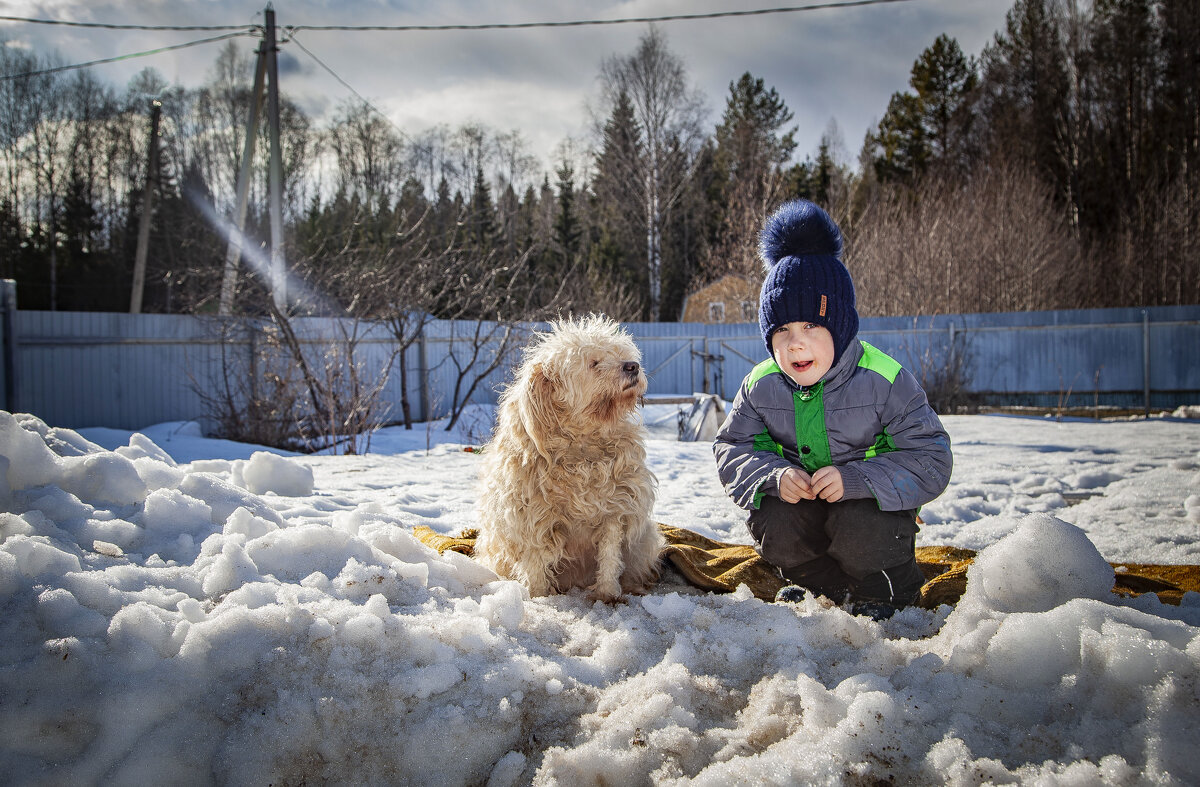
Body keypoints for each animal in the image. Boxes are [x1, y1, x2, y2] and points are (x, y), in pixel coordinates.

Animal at [475, 314, 667, 602]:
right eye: (594, 363)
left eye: (620, 354)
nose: (632, 366)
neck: (584, 445)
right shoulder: (532, 518)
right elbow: (536, 565)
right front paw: (539, 598)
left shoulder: (614, 510)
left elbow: (609, 558)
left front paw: (608, 594)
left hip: (644, 542)